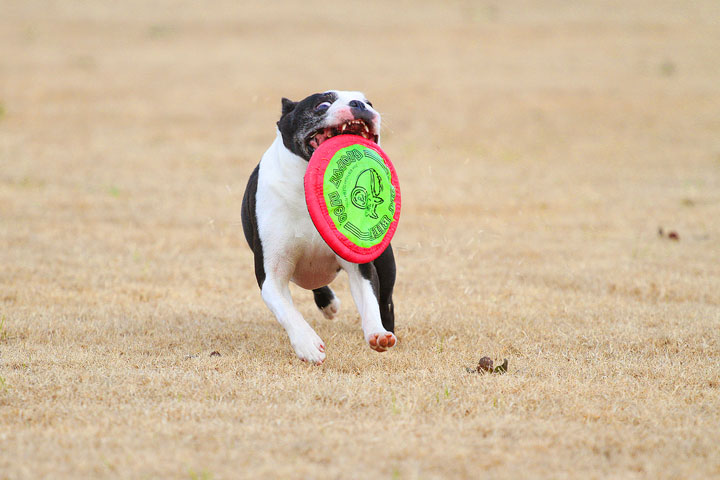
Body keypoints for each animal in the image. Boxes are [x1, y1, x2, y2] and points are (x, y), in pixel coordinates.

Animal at [242, 91, 400, 364]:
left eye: (369, 103)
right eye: (322, 105)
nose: (359, 105)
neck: (306, 187)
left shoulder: (360, 264)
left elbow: (369, 299)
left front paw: (377, 333)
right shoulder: (271, 276)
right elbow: (287, 311)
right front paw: (308, 344)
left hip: (386, 262)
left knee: (385, 299)